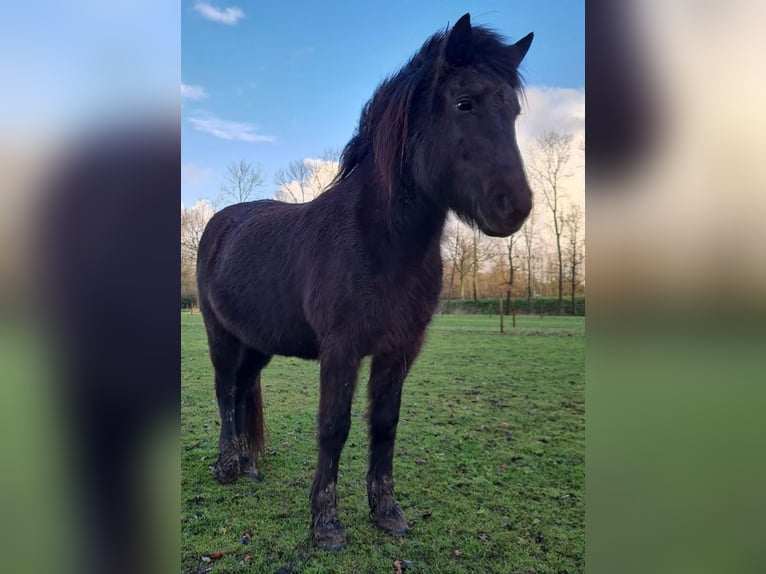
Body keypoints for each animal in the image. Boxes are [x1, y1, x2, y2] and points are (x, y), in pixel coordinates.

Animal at [198, 14, 536, 552]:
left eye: (514, 111)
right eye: (465, 102)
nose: (514, 206)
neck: (379, 243)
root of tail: (219, 224)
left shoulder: (400, 349)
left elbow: (384, 425)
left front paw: (387, 513)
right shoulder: (342, 349)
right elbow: (333, 427)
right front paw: (326, 524)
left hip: (259, 342)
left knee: (244, 387)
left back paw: (249, 466)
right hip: (220, 334)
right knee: (224, 390)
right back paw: (227, 467)